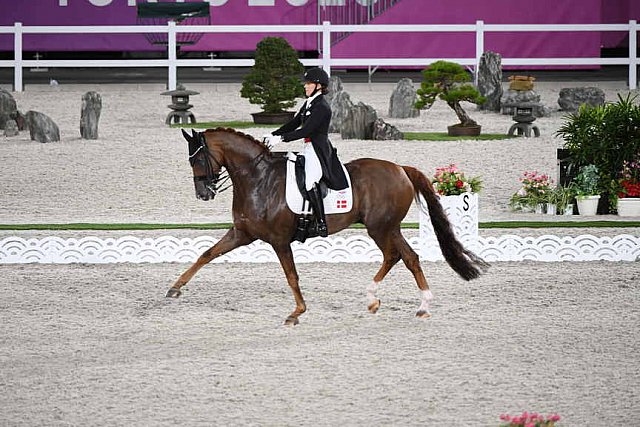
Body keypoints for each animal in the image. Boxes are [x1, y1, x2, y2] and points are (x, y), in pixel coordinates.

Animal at [168, 129, 488, 326]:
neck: (258, 179)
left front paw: (297, 312)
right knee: (404, 257)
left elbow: (292, 276)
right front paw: (175, 288)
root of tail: (401, 169)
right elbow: (206, 254)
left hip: (380, 228)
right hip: (387, 228)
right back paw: (395, 303)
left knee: (399, 256)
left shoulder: (279, 240)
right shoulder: (242, 234)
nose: (204, 194)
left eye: (198, 158)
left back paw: (406, 303)